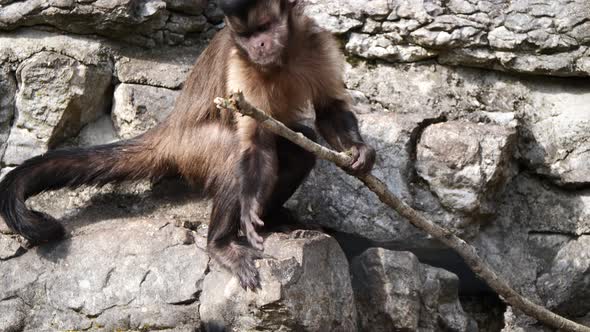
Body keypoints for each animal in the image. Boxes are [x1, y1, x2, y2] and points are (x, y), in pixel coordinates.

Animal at [0, 0, 376, 290]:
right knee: (234, 155)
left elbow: (329, 107)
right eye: (246, 36)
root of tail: (171, 129)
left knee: (300, 148)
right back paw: (221, 243)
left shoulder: (316, 42)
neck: (283, 56)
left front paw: (359, 152)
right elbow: (254, 141)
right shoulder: (241, 62)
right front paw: (246, 212)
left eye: (265, 28)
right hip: (194, 147)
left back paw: (273, 218)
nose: (258, 47)